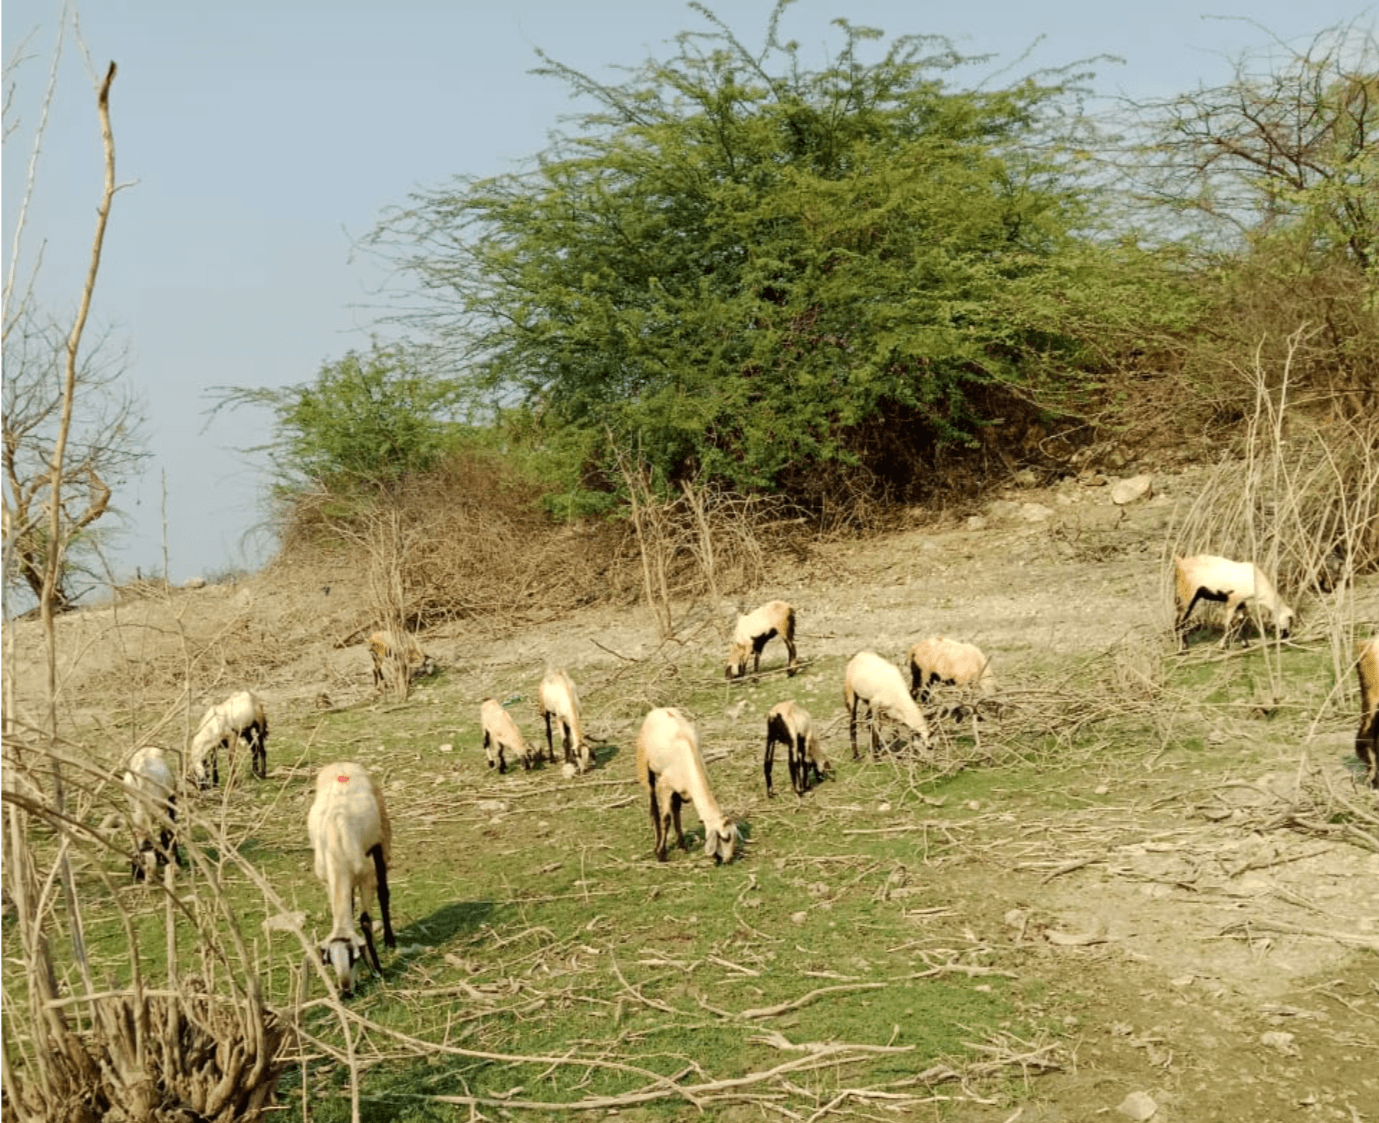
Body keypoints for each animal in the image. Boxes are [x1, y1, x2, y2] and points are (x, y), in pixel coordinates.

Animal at [123, 746, 181, 881]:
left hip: (170, 797)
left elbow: (166, 833)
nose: (149, 880)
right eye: (139, 864)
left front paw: (173, 860)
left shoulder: (163, 809)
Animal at [307, 761, 396, 996]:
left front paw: (377, 969)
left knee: (384, 892)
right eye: (330, 960)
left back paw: (390, 940)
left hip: (381, 835)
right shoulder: (327, 880)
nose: (346, 991)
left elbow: (365, 921)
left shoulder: (366, 877)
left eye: (353, 959)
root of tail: (342, 763)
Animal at [635, 707, 738, 864]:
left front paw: (682, 845)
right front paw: (661, 854)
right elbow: (666, 819)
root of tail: (659, 709)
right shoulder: (665, 786)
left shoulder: (679, 790)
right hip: (644, 765)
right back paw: (656, 845)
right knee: (653, 805)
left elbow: (677, 813)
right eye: (725, 838)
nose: (729, 859)